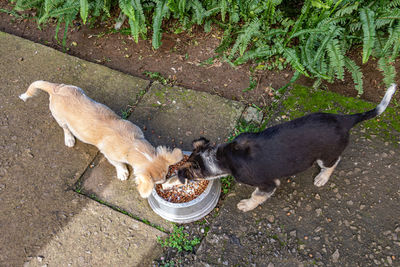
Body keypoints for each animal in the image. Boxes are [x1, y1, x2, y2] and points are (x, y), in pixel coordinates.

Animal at [20, 80, 183, 198]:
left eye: (166, 176)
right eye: (158, 182)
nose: (165, 184)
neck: (133, 145)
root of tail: (56, 89)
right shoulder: (110, 156)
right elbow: (119, 164)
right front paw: (122, 173)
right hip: (60, 119)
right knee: (66, 129)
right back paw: (69, 139)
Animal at [179, 85, 396, 213]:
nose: (179, 176)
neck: (221, 157)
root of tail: (345, 120)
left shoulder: (268, 184)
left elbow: (256, 196)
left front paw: (246, 205)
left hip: (325, 155)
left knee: (334, 162)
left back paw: (322, 178)